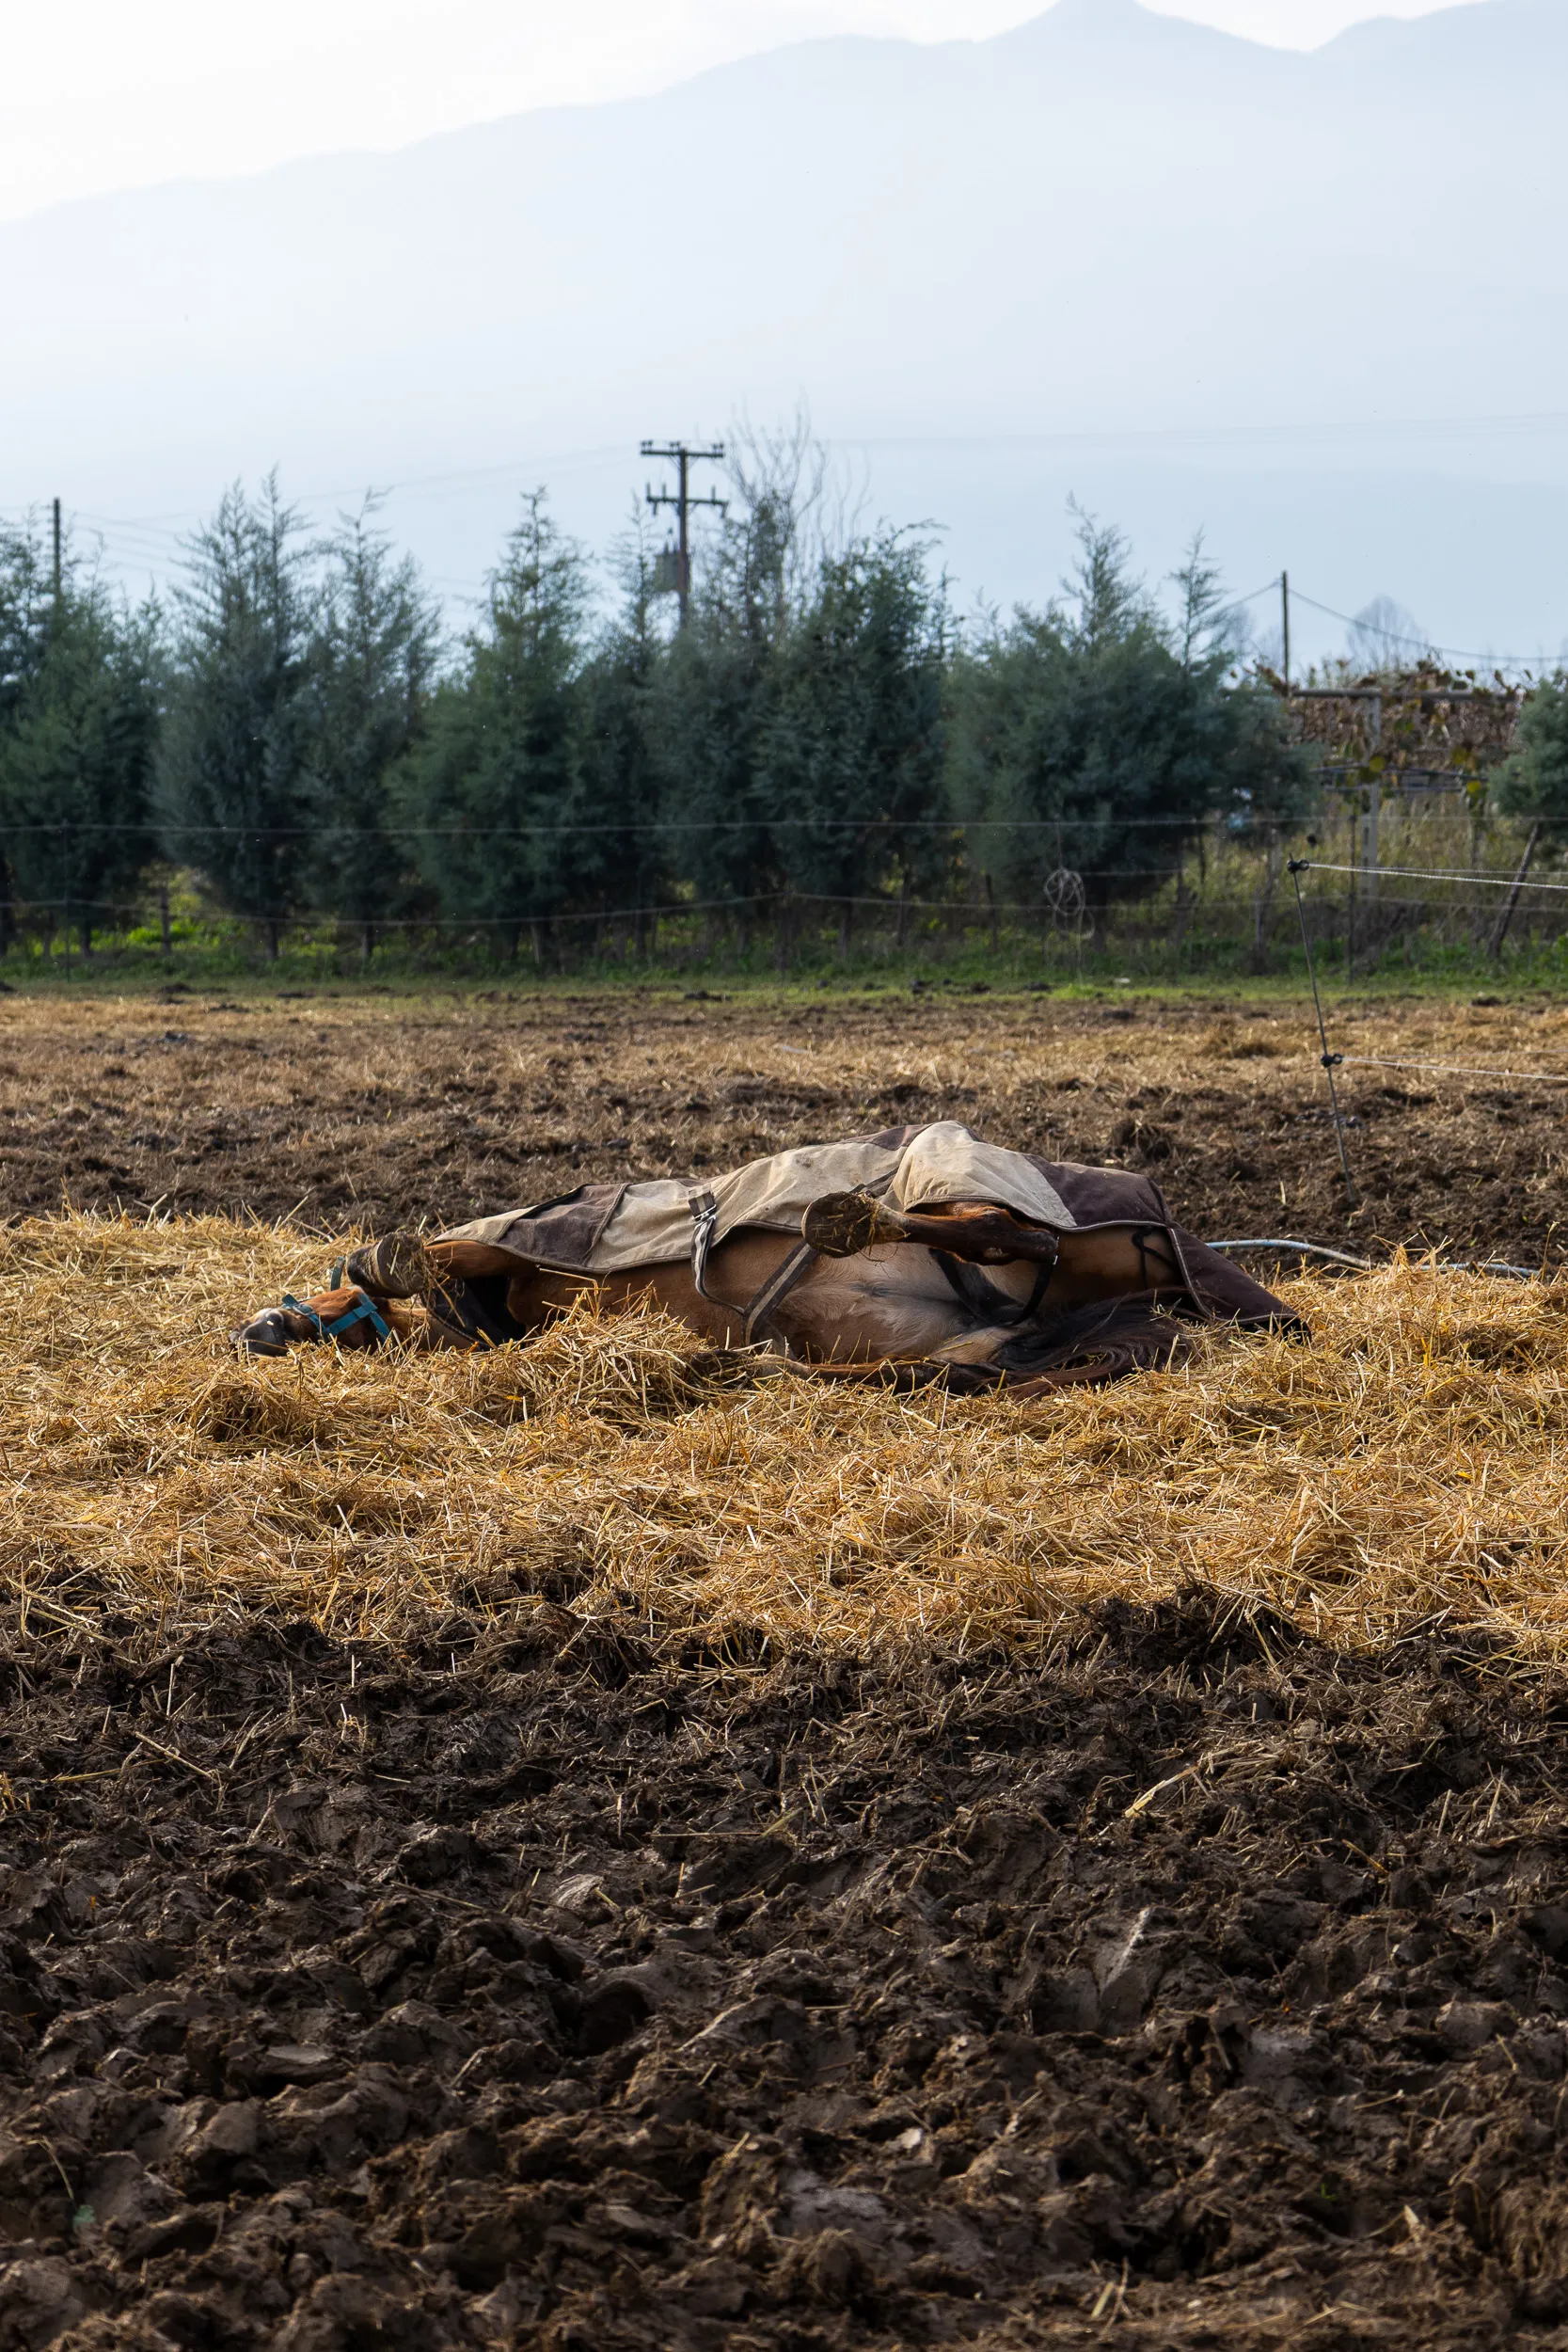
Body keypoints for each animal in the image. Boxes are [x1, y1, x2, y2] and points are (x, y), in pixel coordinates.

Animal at [232, 1121, 1298, 1393]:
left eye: (291, 1304)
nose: (252, 1332)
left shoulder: (527, 1252)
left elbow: (434, 1256)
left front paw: (385, 1261)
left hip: (961, 1183)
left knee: (1005, 1229)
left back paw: (847, 1221)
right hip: (971, 1330)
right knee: (982, 1352)